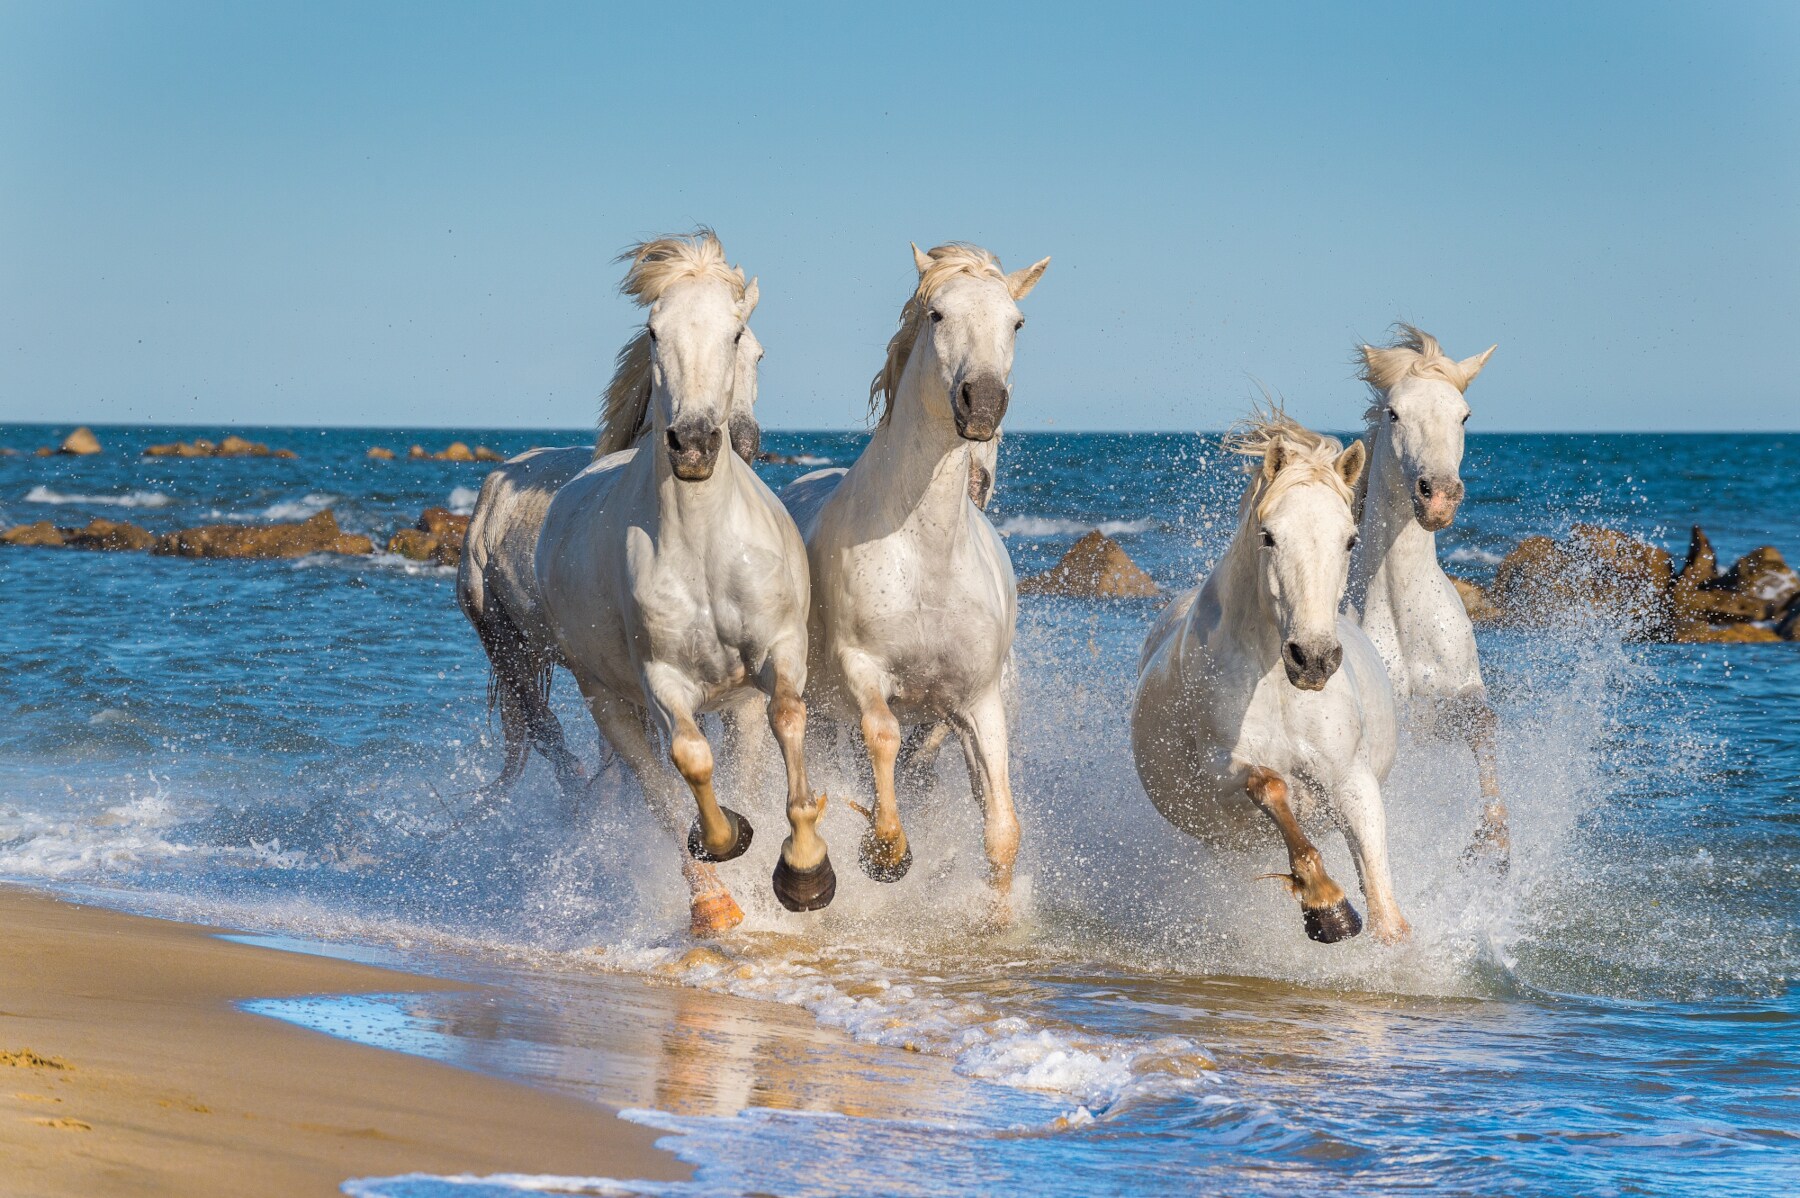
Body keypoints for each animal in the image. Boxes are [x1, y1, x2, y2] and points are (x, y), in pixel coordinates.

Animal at [534, 231, 823, 936]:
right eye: (654, 331)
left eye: (742, 335)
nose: (694, 443)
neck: (703, 545)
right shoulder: (661, 680)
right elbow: (691, 763)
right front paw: (727, 842)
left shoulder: (779, 655)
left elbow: (789, 720)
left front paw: (806, 872)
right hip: (608, 703)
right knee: (658, 790)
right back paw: (712, 902)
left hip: (734, 706)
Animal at [780, 242, 1049, 914]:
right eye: (937, 315)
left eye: (1017, 323)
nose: (983, 402)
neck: (927, 556)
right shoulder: (861, 669)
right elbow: (881, 733)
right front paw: (885, 853)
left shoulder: (977, 702)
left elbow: (1001, 830)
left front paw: (998, 919)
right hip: (823, 713)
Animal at [1131, 410, 1410, 944]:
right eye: (1269, 536)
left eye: (1350, 539)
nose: (1313, 660)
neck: (1279, 687)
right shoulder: (1222, 772)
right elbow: (1270, 785)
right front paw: (1328, 906)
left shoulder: (1352, 780)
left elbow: (1386, 909)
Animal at [1346, 325, 1505, 867]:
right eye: (1394, 413)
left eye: (1464, 415)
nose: (1438, 496)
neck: (1403, 614)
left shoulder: (1455, 697)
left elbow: (1484, 722)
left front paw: (1493, 840)